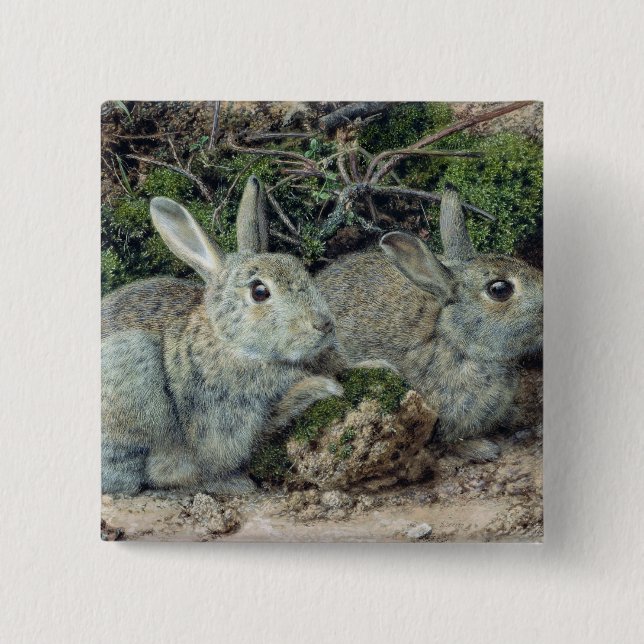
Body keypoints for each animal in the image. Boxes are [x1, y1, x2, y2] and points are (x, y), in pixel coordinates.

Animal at [102, 176, 342, 495]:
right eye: (260, 291)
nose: (324, 324)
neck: (230, 343)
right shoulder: (228, 419)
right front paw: (323, 387)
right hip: (133, 368)